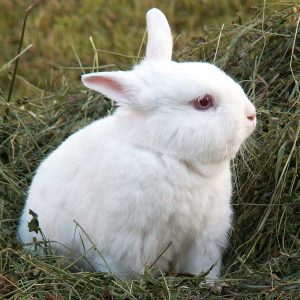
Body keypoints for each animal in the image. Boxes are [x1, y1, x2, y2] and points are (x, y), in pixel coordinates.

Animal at [17, 8, 255, 280]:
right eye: (203, 102)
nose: (251, 115)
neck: (170, 156)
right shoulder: (127, 244)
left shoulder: (204, 238)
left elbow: (203, 267)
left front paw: (209, 284)